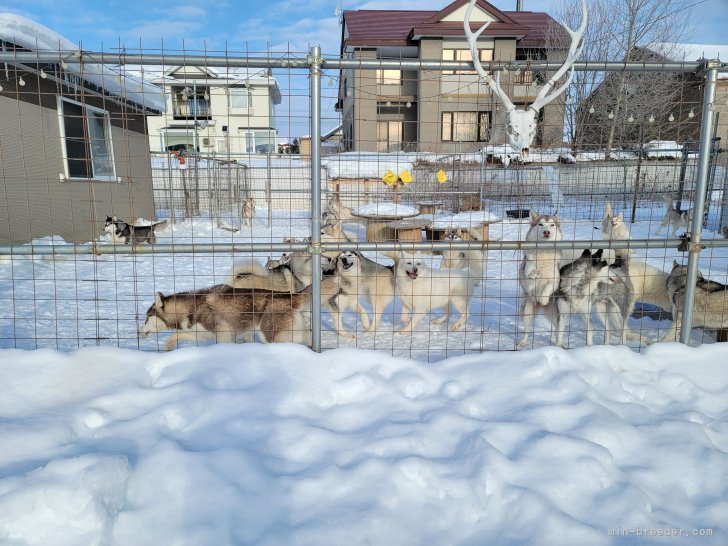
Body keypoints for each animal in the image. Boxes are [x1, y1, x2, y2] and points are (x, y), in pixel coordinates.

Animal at [139, 282, 310, 350]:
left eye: (146, 318)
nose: (139, 332)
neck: (192, 307)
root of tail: (290, 296)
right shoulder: (200, 333)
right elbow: (175, 336)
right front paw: (169, 349)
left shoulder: (223, 333)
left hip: (270, 334)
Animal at [516, 210, 564, 346]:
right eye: (540, 224)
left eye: (552, 225)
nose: (546, 232)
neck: (544, 251)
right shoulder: (525, 275)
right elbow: (530, 274)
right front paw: (534, 273)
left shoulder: (555, 279)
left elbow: (548, 285)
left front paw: (543, 298)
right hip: (528, 311)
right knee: (527, 329)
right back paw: (523, 342)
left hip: (554, 314)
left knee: (558, 330)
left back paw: (559, 344)